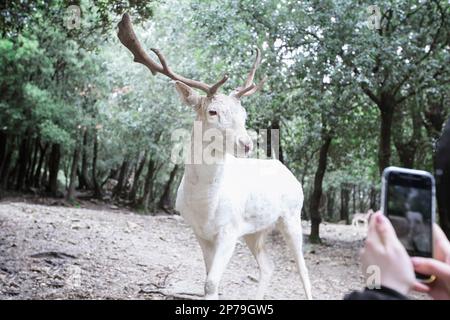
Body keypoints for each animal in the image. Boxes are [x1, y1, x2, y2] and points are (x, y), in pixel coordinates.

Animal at [118, 13, 312, 300]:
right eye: (212, 112)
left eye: (244, 114)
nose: (246, 144)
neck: (205, 209)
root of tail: (291, 175)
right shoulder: (201, 233)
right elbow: (209, 280)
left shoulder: (229, 231)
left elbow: (211, 282)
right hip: (256, 230)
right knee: (268, 266)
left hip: (292, 215)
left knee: (303, 269)